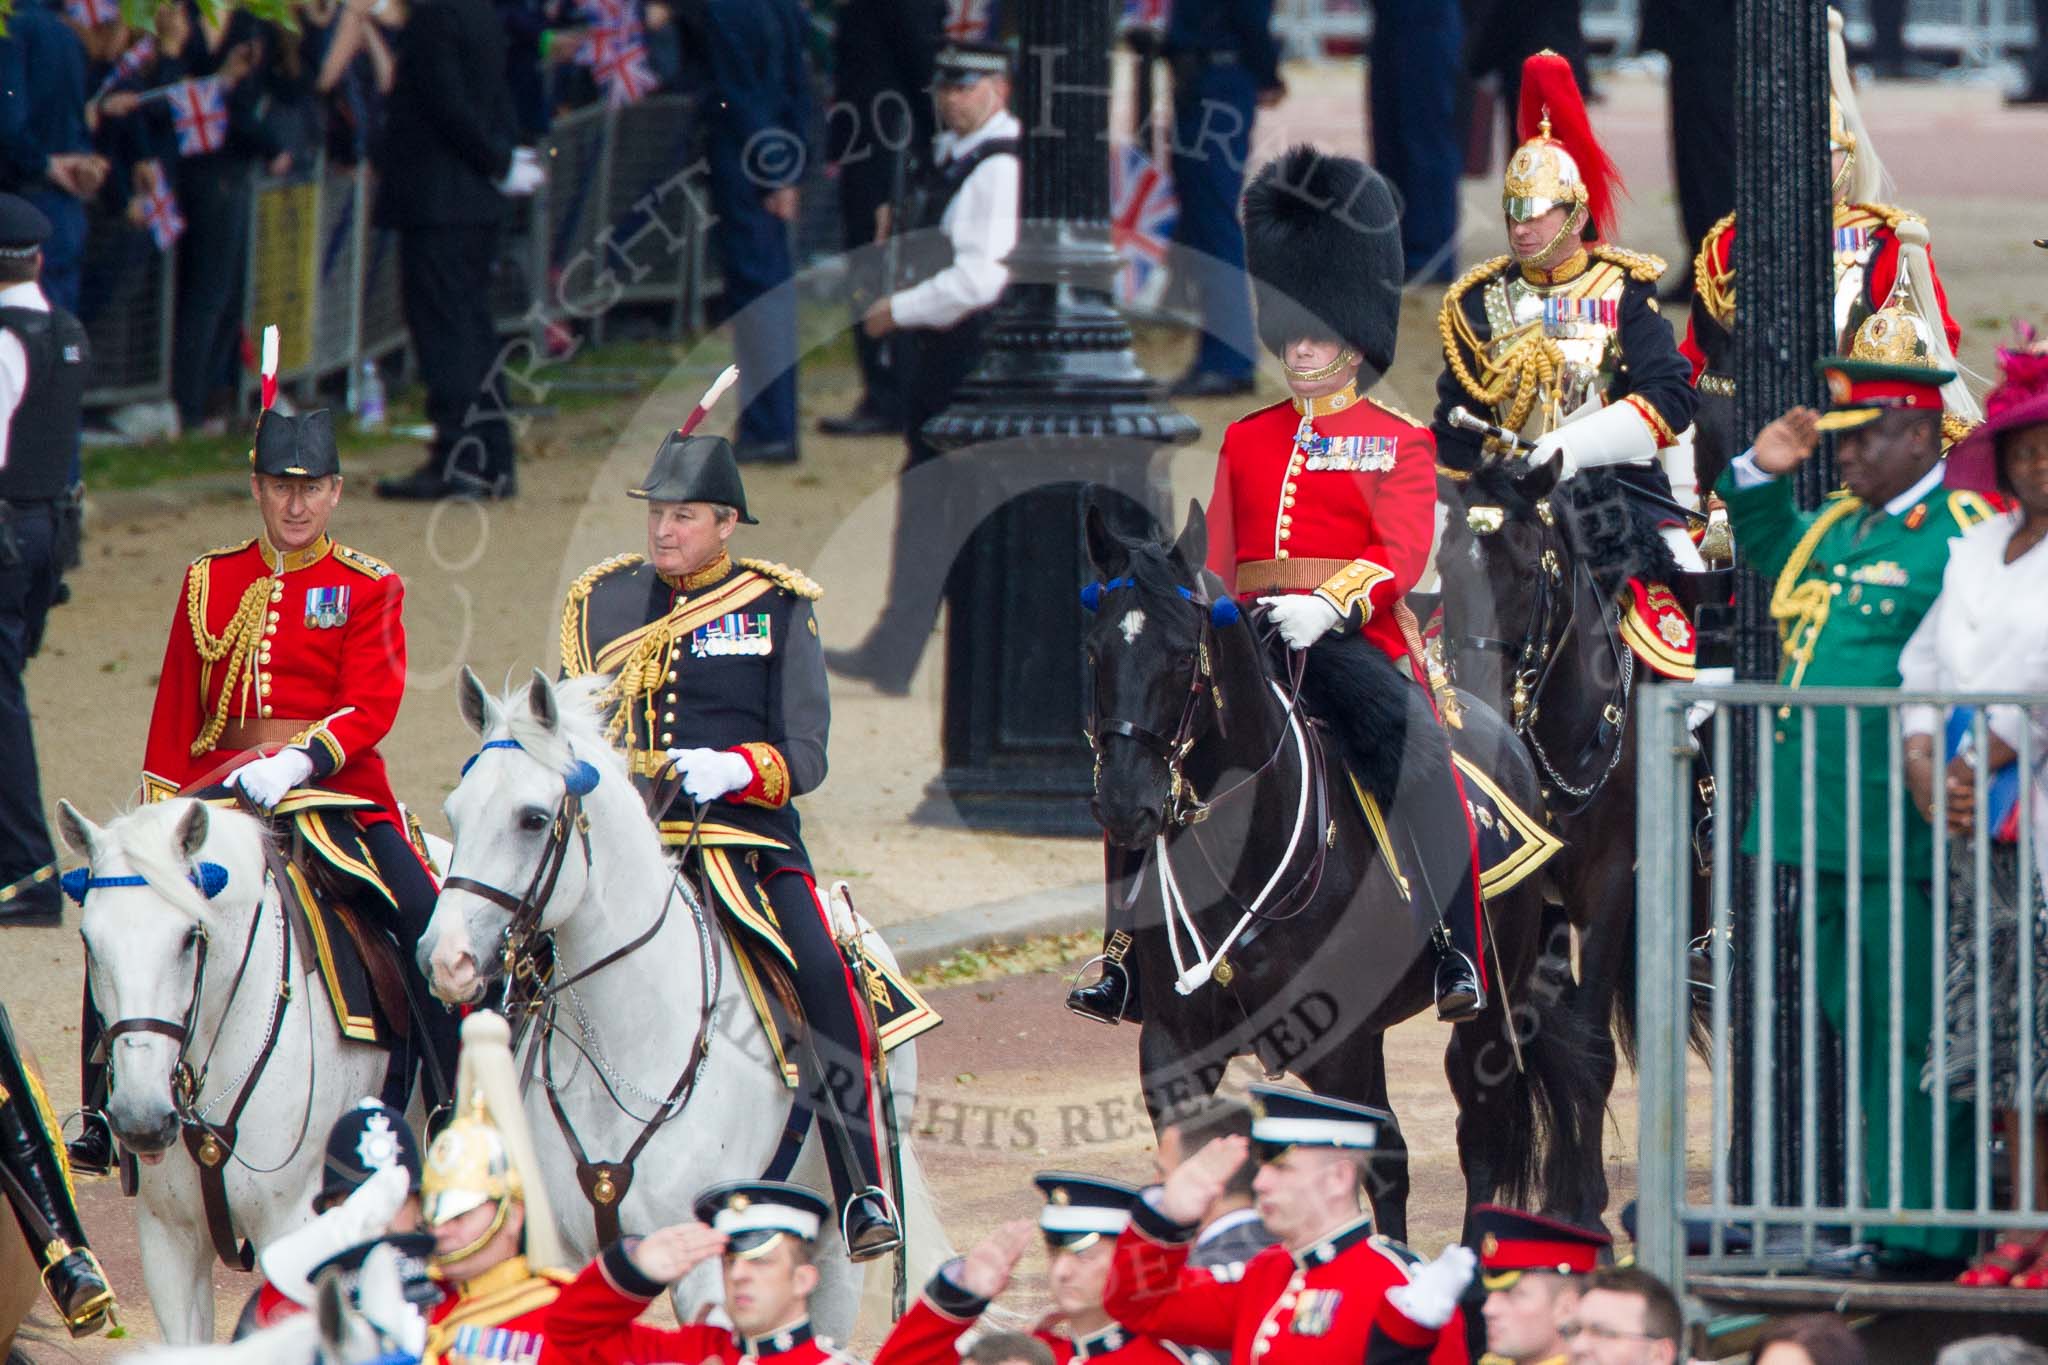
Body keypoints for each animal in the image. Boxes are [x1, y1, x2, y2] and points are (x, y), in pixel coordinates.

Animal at [423, 675, 950, 1342]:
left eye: (533, 819)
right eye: (454, 813)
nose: (445, 959)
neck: (625, 1046)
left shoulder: (706, 1270)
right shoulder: (564, 1252)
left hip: (834, 1245)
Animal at [1081, 501, 1605, 1236]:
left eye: (1185, 656)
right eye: (1095, 651)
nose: (1126, 803)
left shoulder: (1342, 1050)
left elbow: (1379, 1164)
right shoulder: (1173, 1048)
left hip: (1491, 999)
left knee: (1479, 1133)